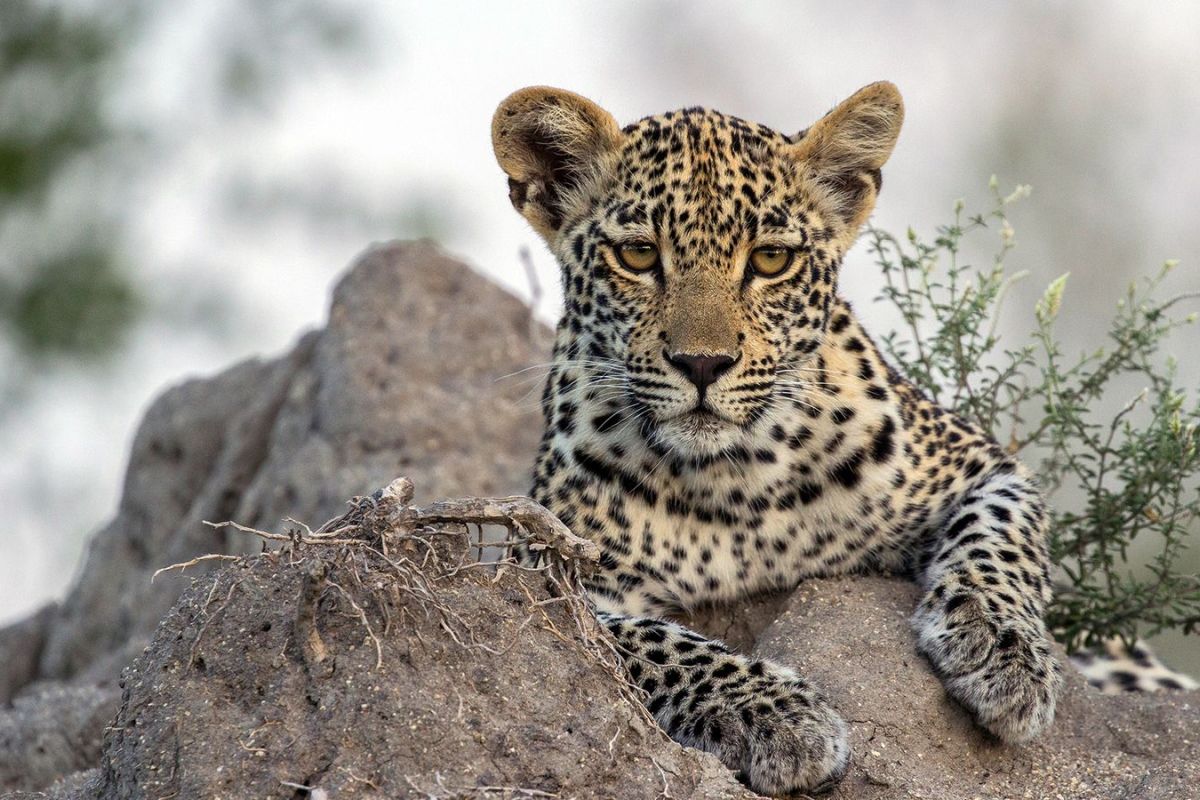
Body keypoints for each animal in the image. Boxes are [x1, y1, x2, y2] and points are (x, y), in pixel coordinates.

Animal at [489, 81, 1064, 796]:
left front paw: (1004, 652)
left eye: (770, 259)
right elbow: (657, 642)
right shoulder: (544, 574)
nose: (702, 364)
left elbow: (1000, 539)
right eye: (638, 255)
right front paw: (775, 715)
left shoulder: (980, 463)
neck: (734, 479)